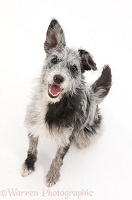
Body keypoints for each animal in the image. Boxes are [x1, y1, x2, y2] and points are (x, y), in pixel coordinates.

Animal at [20, 19, 111, 188]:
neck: (53, 104)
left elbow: (58, 158)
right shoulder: (33, 124)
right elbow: (32, 148)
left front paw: (52, 175)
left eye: (74, 68)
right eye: (54, 60)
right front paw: (29, 165)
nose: (58, 78)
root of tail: (93, 96)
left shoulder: (65, 139)